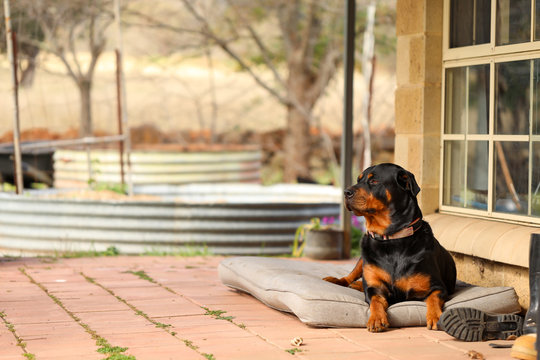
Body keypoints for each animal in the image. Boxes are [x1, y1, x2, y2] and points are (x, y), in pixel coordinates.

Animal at [324, 163, 456, 332]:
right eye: (358, 180)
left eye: (374, 181)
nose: (346, 192)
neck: (392, 239)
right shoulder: (374, 288)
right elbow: (375, 300)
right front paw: (376, 318)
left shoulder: (437, 286)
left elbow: (433, 298)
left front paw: (435, 316)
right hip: (363, 259)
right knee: (351, 276)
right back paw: (339, 280)